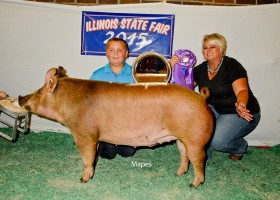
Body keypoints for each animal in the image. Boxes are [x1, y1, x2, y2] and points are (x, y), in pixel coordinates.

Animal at [18, 66, 214, 188]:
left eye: (39, 92)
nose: (20, 97)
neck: (68, 104)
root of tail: (201, 98)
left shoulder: (84, 135)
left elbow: (87, 158)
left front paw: (83, 180)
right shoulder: (95, 138)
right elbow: (94, 156)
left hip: (196, 140)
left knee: (199, 160)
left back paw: (193, 184)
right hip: (181, 139)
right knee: (184, 155)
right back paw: (178, 174)